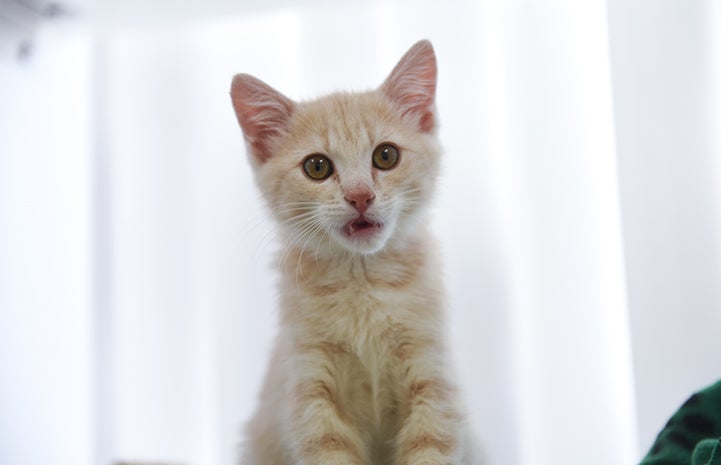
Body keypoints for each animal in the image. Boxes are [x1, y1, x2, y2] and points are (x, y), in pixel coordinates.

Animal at [231, 39, 478, 464]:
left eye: (386, 156)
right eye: (316, 166)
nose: (361, 196)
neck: (362, 283)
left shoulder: (434, 378)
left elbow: (431, 445)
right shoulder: (309, 390)